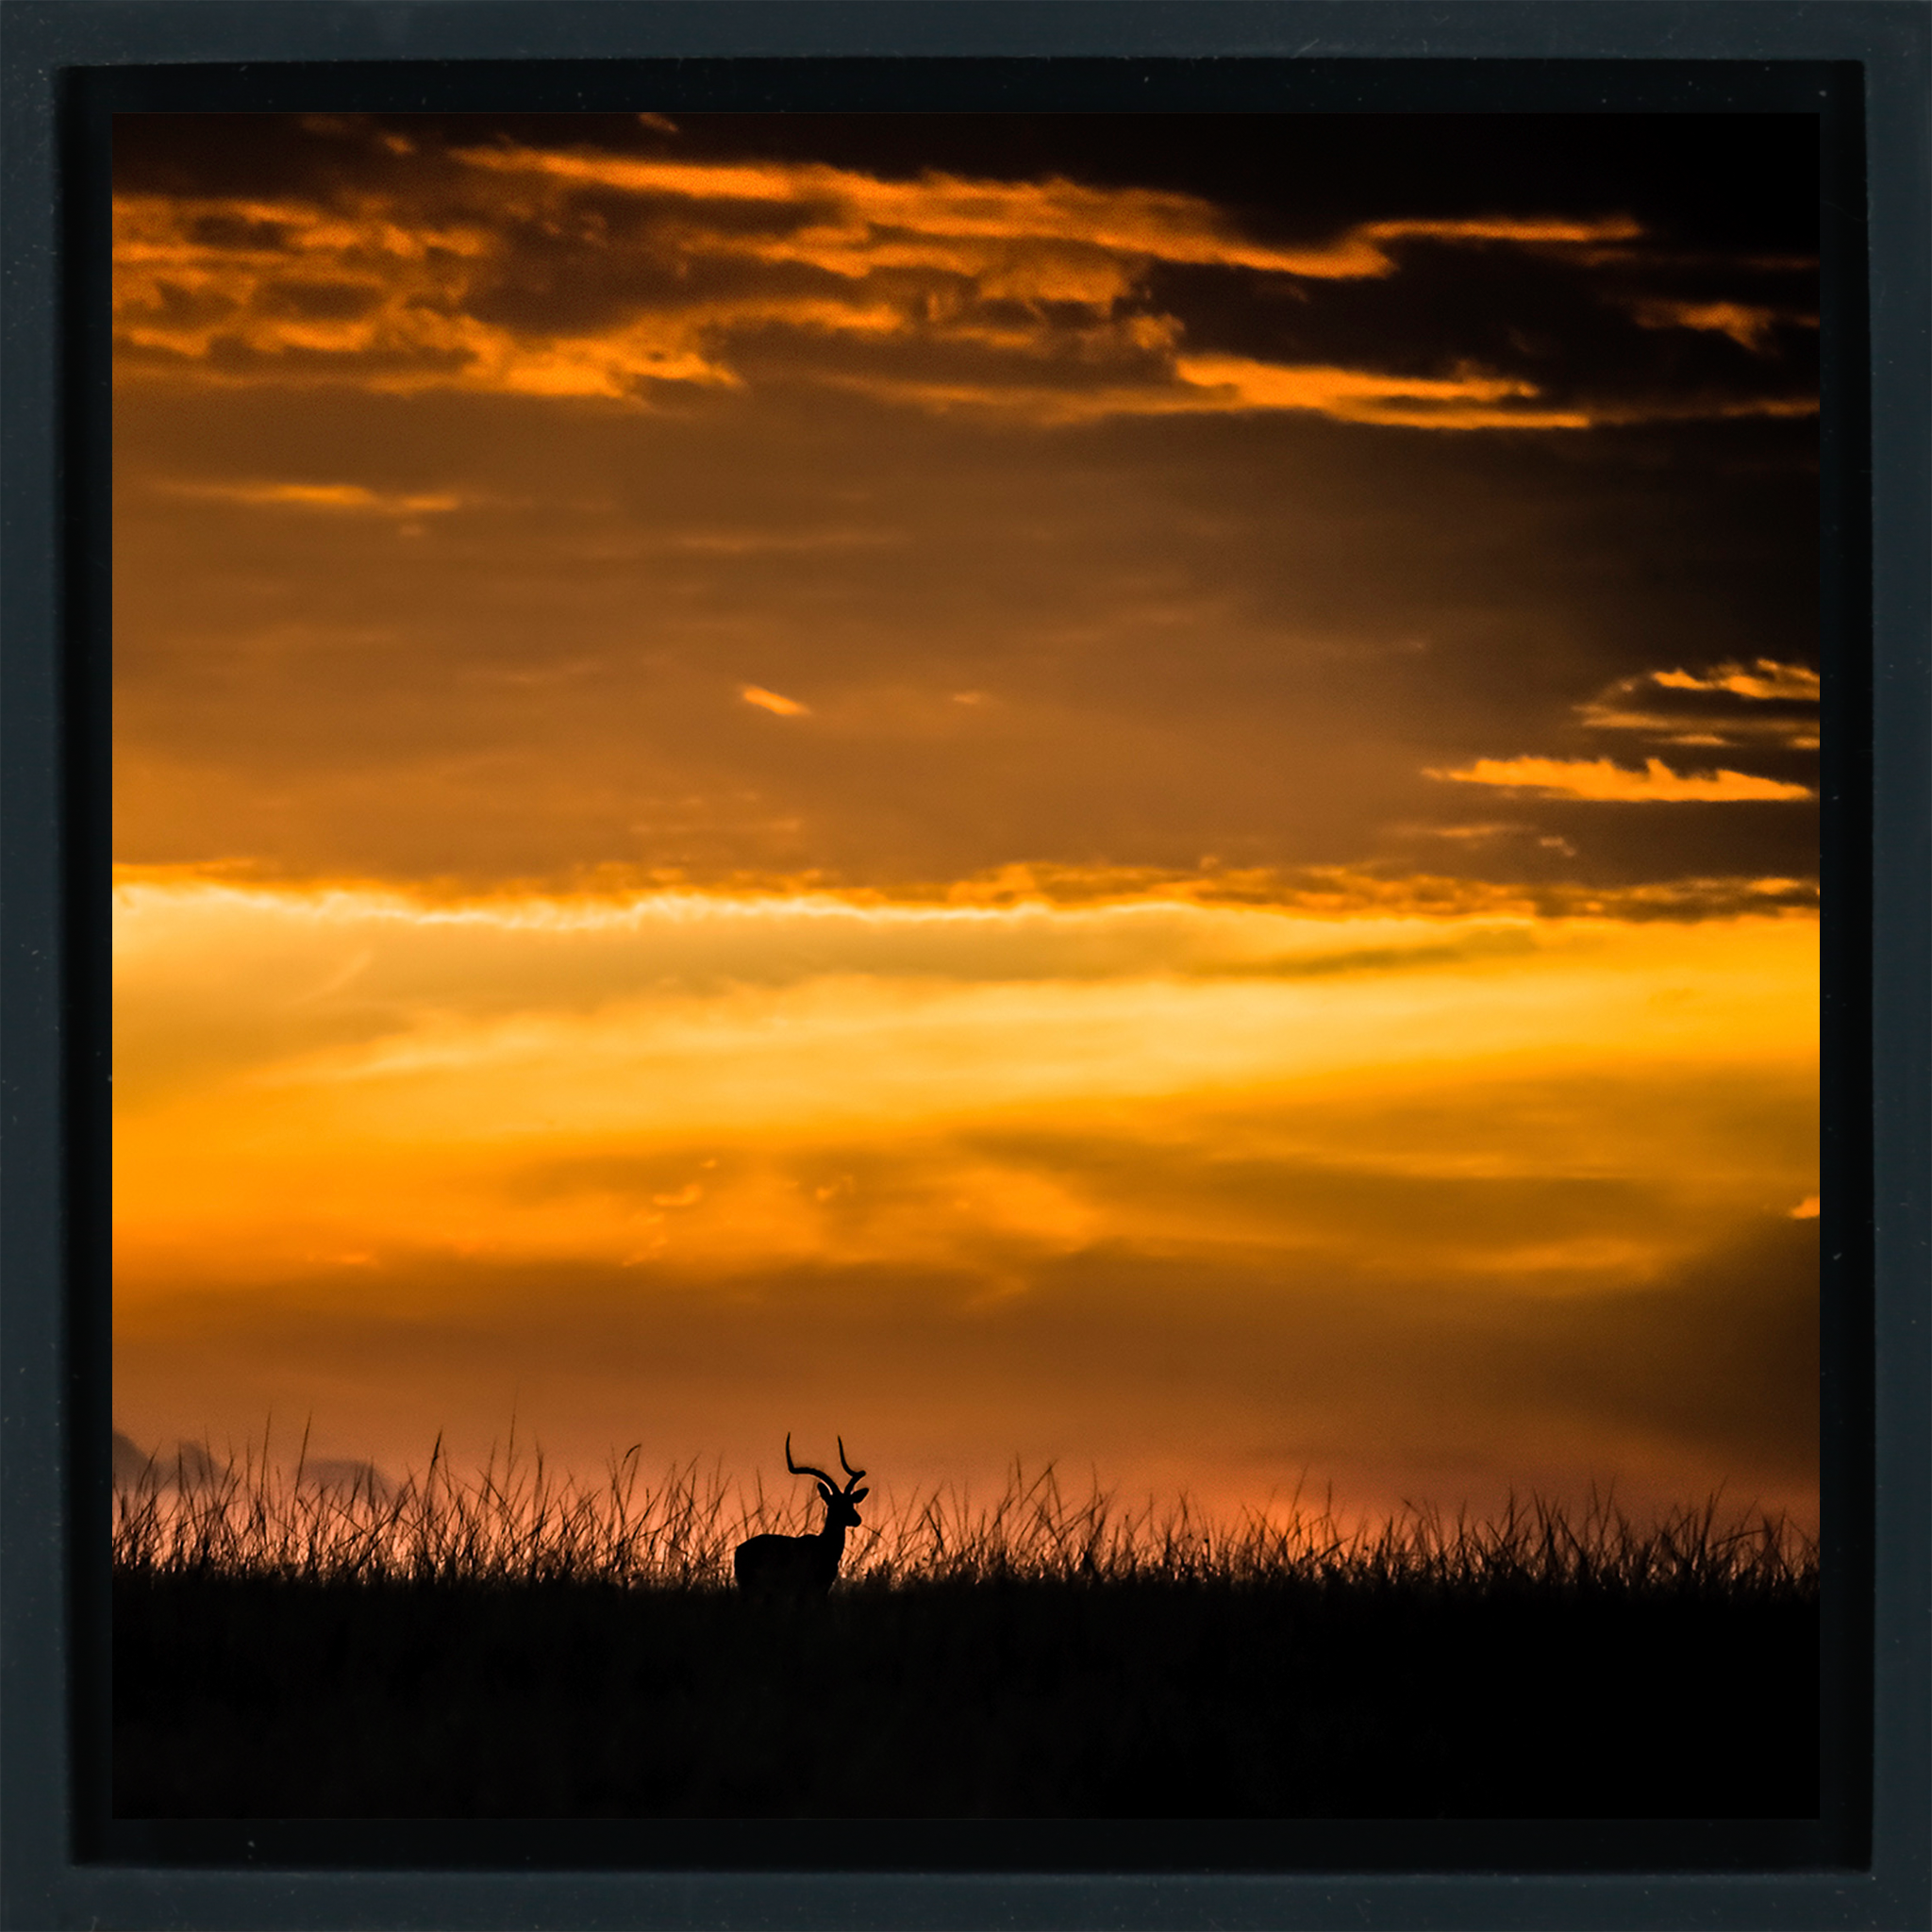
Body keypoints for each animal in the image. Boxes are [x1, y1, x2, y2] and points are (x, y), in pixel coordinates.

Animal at [733, 1435, 869, 1598]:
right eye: (835, 1504)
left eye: (851, 1502)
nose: (857, 1519)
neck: (823, 1547)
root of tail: (739, 1549)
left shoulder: (823, 1590)